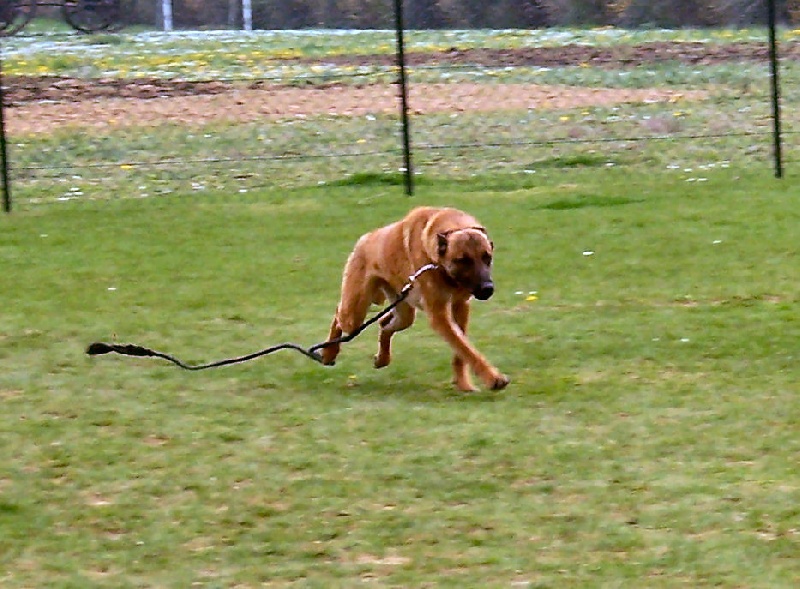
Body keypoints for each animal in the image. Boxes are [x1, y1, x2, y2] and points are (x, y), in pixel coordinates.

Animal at [322, 207, 510, 390]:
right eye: (463, 260)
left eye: (487, 257)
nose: (487, 289)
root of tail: (366, 238)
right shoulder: (439, 316)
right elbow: (465, 348)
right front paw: (493, 378)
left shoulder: (461, 306)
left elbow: (462, 350)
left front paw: (464, 383)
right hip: (355, 314)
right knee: (339, 315)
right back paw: (329, 352)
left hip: (404, 313)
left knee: (384, 323)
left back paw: (382, 358)